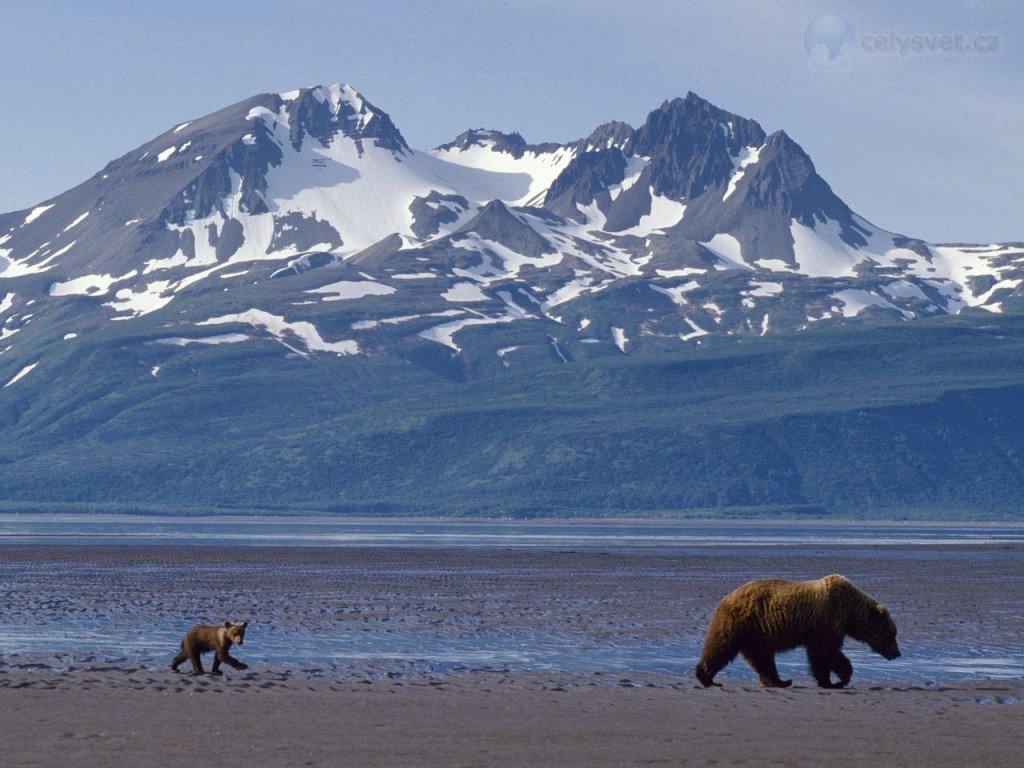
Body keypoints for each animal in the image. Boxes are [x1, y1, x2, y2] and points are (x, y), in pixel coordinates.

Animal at [695, 574, 899, 688]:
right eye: (892, 634)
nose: (897, 653)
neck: (850, 612)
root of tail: (726, 597)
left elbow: (826, 653)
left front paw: (836, 679)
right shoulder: (827, 620)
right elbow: (825, 652)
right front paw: (834, 681)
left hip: (756, 633)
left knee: (762, 658)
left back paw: (779, 681)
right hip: (741, 623)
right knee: (721, 646)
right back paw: (706, 678)